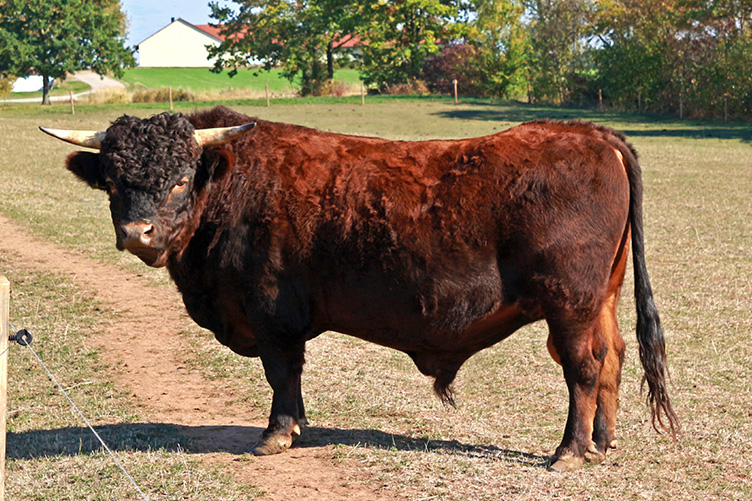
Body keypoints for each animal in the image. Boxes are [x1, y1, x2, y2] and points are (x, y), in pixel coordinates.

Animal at [41, 105, 678, 471]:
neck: (233, 185)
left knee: (583, 368)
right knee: (613, 357)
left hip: (569, 304)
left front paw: (277, 434)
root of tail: (591, 134)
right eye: (114, 180)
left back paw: (569, 451)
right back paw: (602, 442)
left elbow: (281, 373)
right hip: (601, 300)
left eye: (178, 179)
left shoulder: (270, 311)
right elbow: (290, 378)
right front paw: (296, 427)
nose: (137, 232)